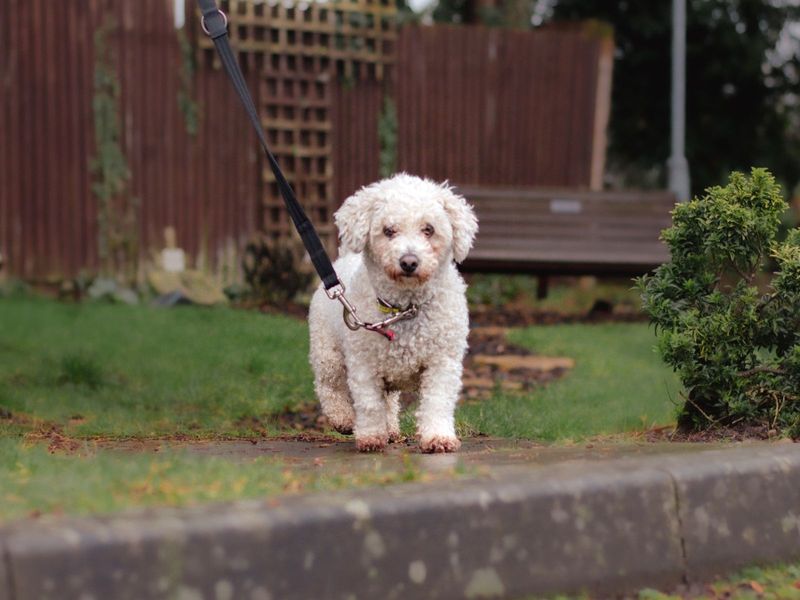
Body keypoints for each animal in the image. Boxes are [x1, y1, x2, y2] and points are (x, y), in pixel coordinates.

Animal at [310, 172, 478, 450]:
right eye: (388, 231)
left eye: (429, 229)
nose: (409, 262)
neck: (405, 308)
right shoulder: (363, 364)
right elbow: (369, 404)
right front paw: (370, 436)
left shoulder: (442, 362)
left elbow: (437, 401)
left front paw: (437, 436)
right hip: (327, 353)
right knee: (328, 386)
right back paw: (343, 418)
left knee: (388, 401)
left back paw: (390, 429)